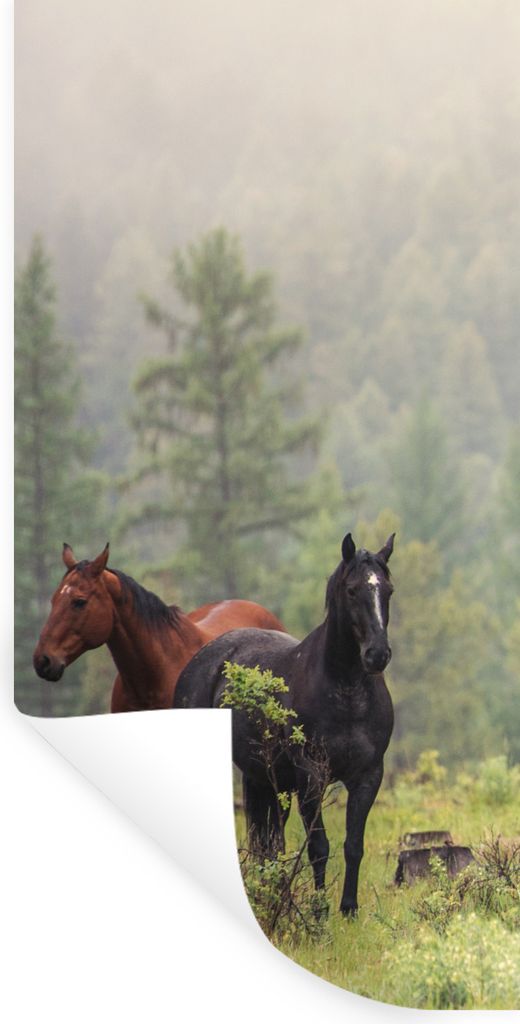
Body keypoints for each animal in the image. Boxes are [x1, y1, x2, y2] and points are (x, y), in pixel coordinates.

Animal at [173, 532, 395, 916]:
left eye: (388, 590)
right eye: (352, 590)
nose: (377, 655)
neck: (346, 691)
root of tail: (203, 658)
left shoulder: (368, 776)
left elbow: (353, 845)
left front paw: (348, 909)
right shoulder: (311, 775)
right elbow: (319, 848)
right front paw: (320, 912)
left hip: (263, 778)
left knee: (268, 843)